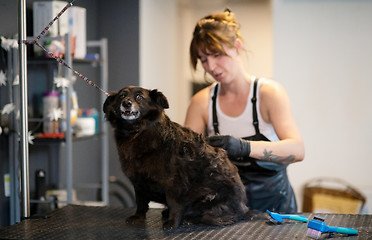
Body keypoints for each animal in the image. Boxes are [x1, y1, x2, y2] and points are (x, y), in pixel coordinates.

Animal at [104, 86, 250, 229]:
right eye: (122, 96)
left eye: (139, 97)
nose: (126, 103)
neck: (136, 133)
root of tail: (244, 208)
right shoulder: (138, 181)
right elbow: (140, 202)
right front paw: (138, 217)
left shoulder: (174, 182)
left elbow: (174, 203)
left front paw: (173, 222)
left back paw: (188, 219)